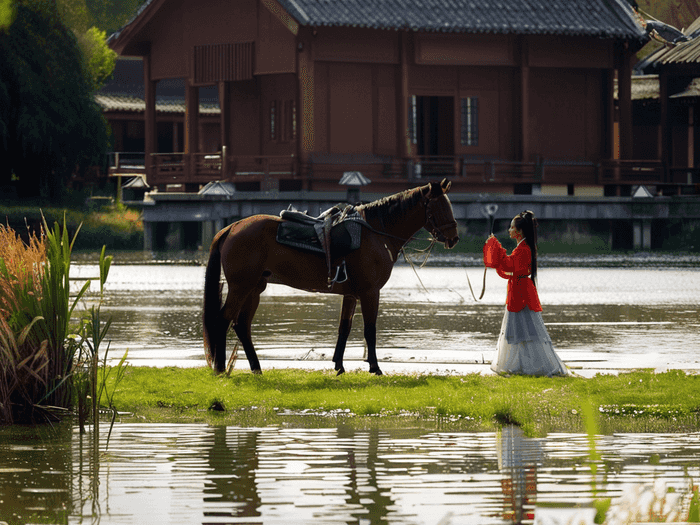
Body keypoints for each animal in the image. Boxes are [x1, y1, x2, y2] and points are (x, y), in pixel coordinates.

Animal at [202, 178, 460, 374]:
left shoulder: (351, 295)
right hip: (241, 287)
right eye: (440, 207)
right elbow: (370, 330)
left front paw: (339, 366)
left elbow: (344, 328)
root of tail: (232, 227)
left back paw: (256, 368)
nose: (454, 238)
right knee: (223, 320)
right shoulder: (370, 293)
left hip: (254, 288)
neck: (376, 233)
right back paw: (221, 369)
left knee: (241, 326)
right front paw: (375, 368)